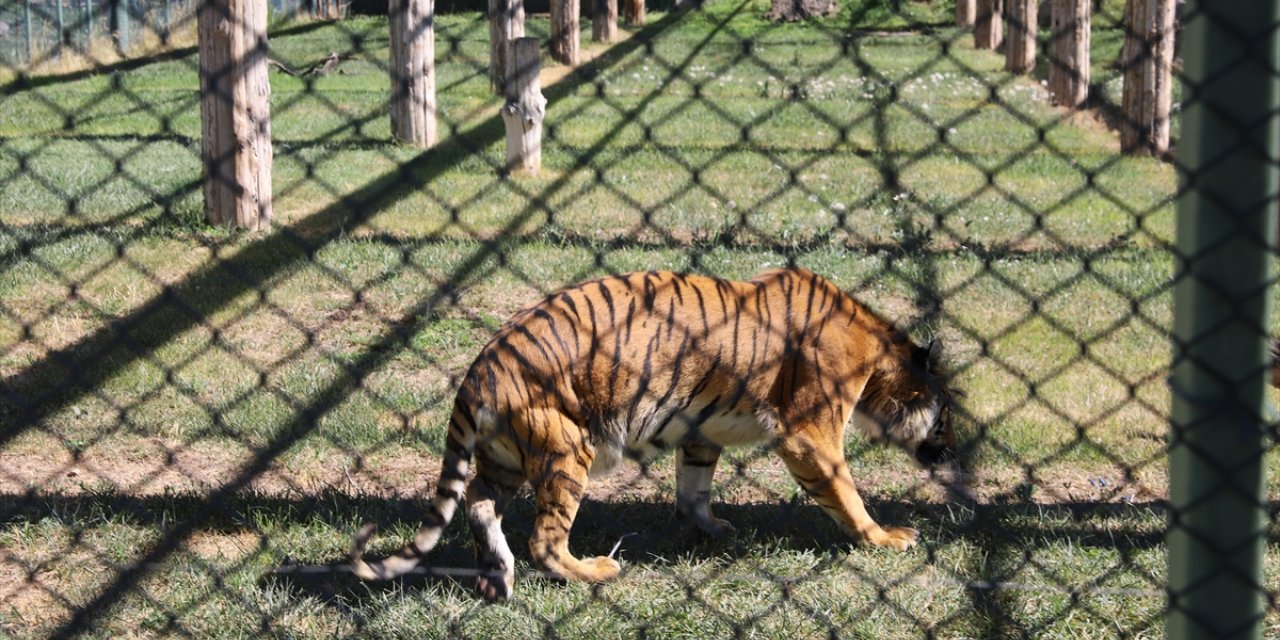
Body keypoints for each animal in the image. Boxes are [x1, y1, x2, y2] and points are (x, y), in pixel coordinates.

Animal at [348, 266, 952, 599]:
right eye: (946, 416)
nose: (947, 456)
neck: (880, 357)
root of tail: (480, 367)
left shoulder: (701, 429)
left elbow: (694, 487)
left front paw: (710, 528)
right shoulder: (810, 434)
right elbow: (847, 492)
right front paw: (883, 537)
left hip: (507, 458)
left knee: (477, 502)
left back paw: (495, 578)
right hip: (568, 447)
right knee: (544, 539)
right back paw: (593, 571)